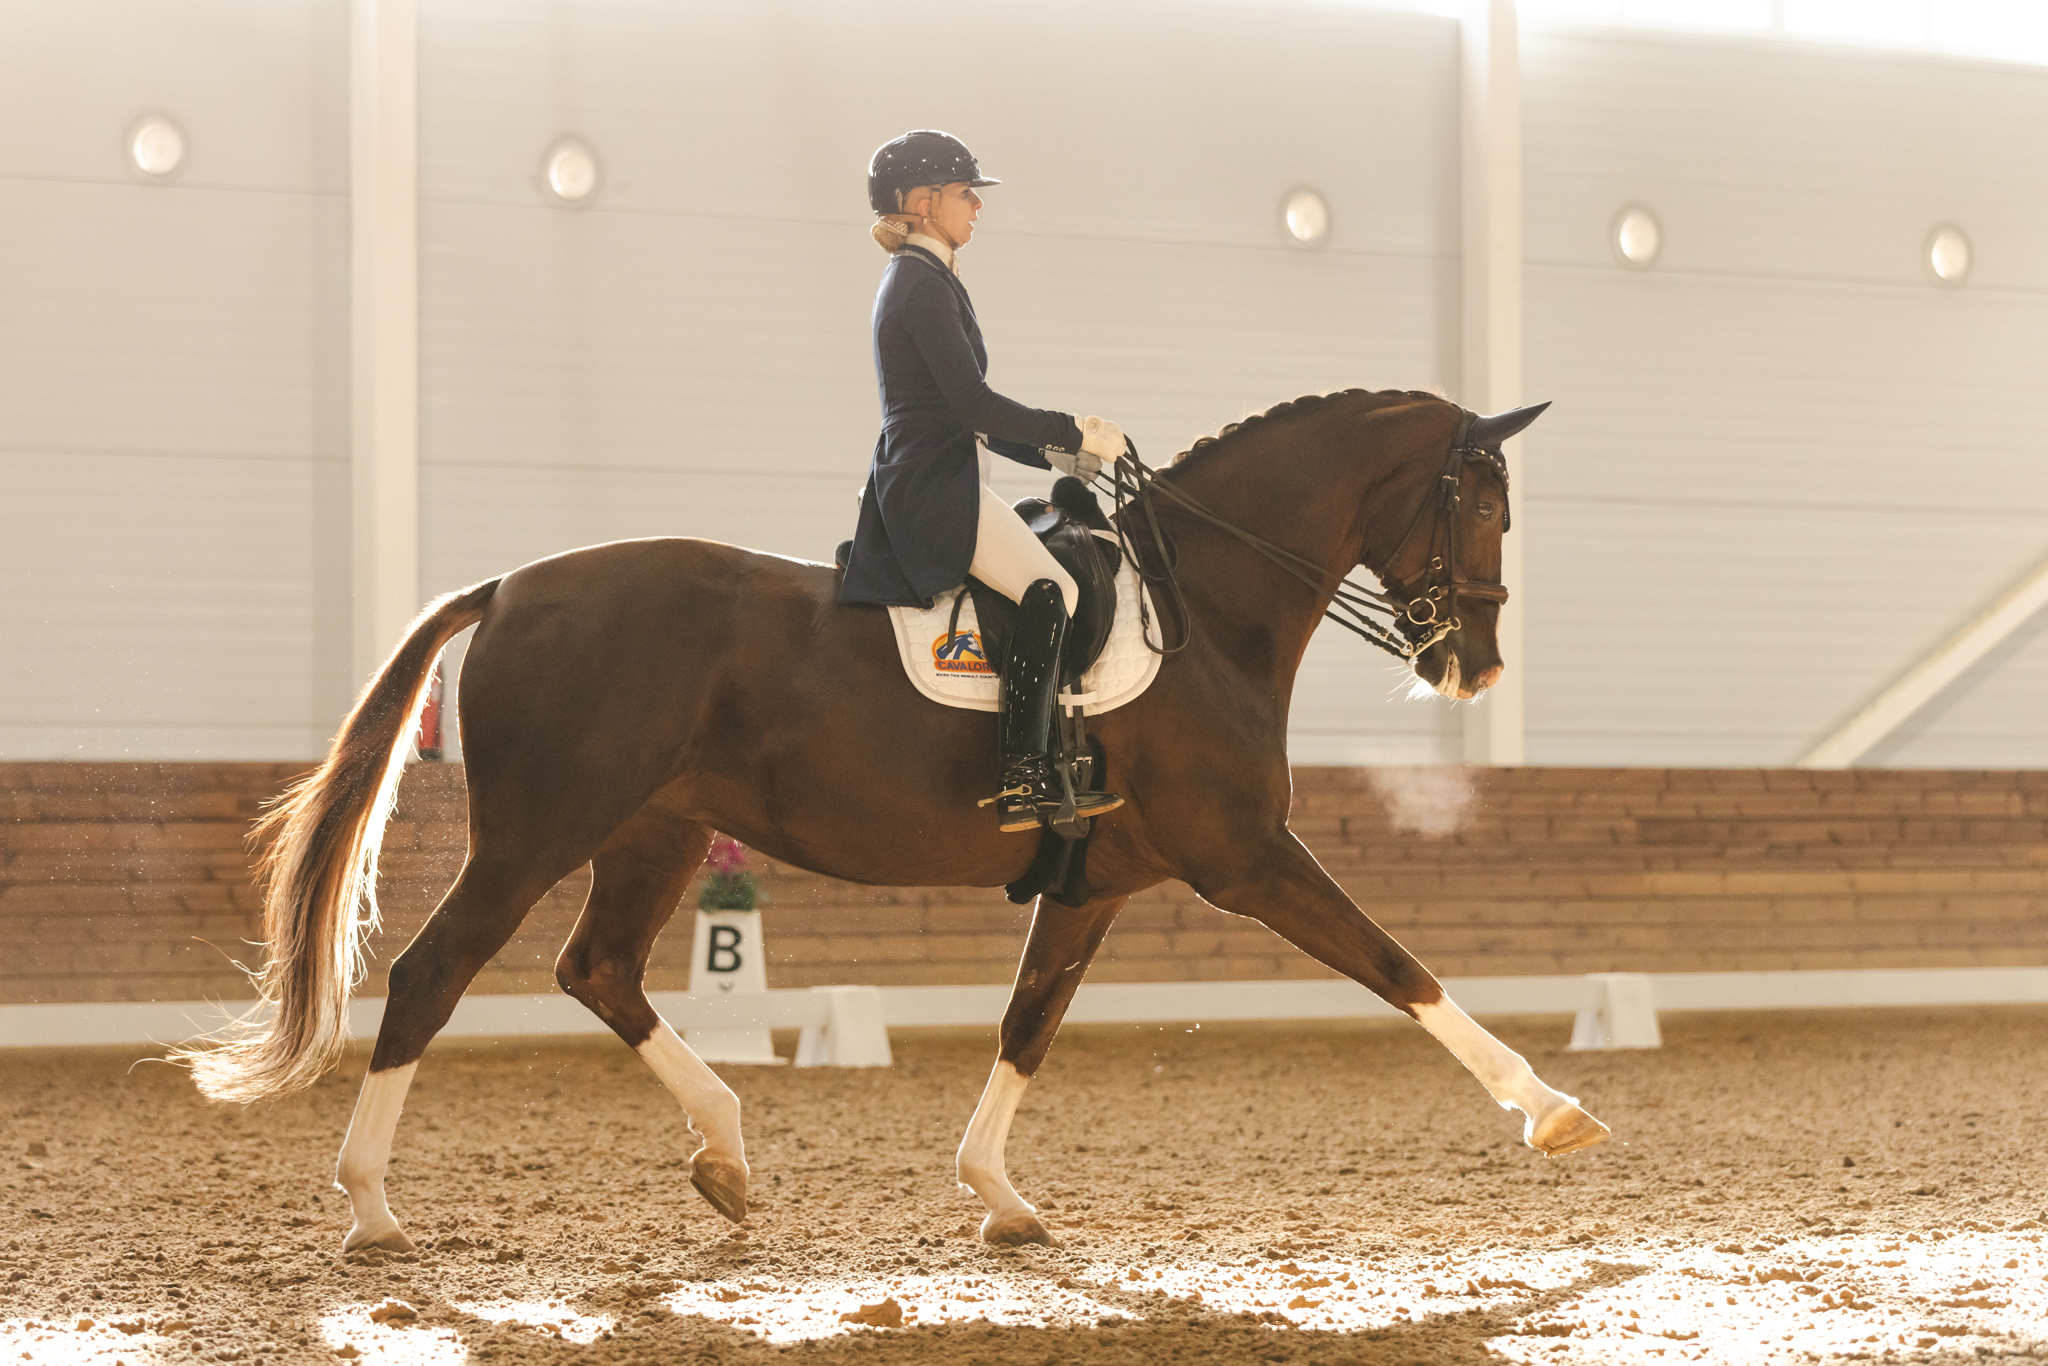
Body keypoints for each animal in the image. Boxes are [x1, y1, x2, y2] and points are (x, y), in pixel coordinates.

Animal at [184, 385, 1605, 1253]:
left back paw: (725, 1152)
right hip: (537, 830)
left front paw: (998, 1197)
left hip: (652, 831)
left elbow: (1027, 1023)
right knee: (433, 972)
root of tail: (512, 584)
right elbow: (1400, 965)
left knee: (596, 970)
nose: (1472, 662)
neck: (1203, 606)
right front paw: (1549, 1108)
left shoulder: (1095, 881)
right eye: (1482, 502)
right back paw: (371, 1209)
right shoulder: (1244, 856)